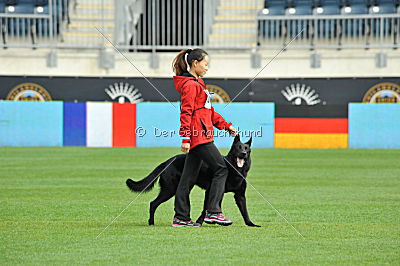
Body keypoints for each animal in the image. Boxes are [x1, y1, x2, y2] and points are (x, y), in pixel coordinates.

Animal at [126, 135, 260, 227]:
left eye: (247, 149)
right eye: (238, 147)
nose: (243, 153)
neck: (235, 169)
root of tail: (167, 161)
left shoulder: (240, 196)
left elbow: (245, 211)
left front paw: (251, 224)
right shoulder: (211, 190)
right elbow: (206, 208)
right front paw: (201, 221)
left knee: (154, 203)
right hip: (169, 189)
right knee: (153, 203)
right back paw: (152, 223)